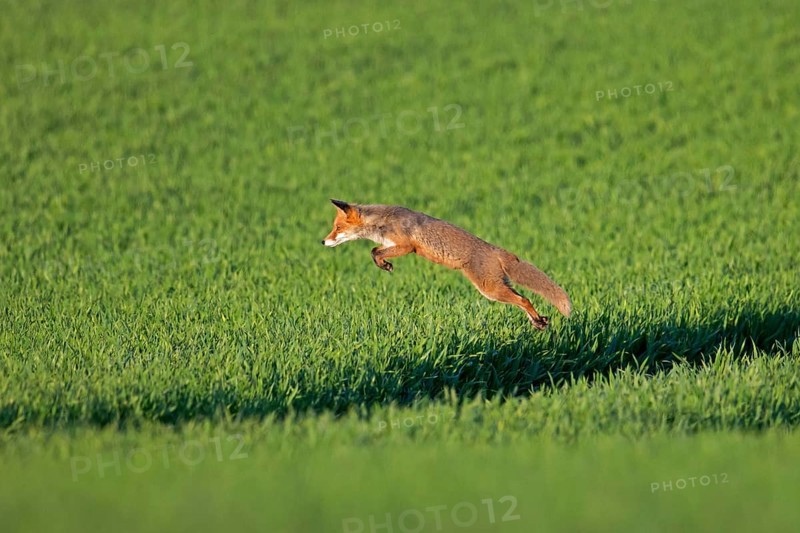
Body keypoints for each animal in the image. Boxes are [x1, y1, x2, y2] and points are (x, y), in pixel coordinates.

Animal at [321, 199, 572, 330]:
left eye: (337, 228)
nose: (323, 241)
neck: (383, 222)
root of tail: (495, 249)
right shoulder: (395, 245)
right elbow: (375, 251)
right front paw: (384, 264)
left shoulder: (407, 246)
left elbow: (374, 252)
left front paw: (385, 264)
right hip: (498, 287)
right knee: (522, 299)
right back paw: (538, 321)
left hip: (490, 289)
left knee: (525, 299)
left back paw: (538, 320)